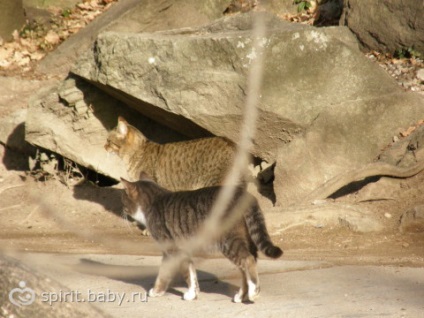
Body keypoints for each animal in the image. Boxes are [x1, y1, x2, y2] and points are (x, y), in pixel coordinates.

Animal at [121, 174, 284, 304]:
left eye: (124, 199)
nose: (122, 209)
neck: (154, 200)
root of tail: (244, 195)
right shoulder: (183, 250)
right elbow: (191, 273)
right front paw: (193, 293)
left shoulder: (171, 250)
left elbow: (165, 274)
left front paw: (157, 291)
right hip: (245, 240)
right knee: (247, 266)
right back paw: (241, 295)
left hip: (229, 242)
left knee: (248, 260)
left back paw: (254, 292)